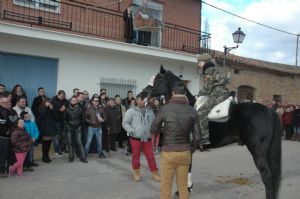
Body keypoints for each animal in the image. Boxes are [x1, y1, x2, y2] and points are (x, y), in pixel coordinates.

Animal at [141, 65, 282, 199]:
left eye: (157, 79)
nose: (141, 95)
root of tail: (269, 110)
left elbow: (186, 169)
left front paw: (183, 190)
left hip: (258, 151)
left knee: (267, 176)